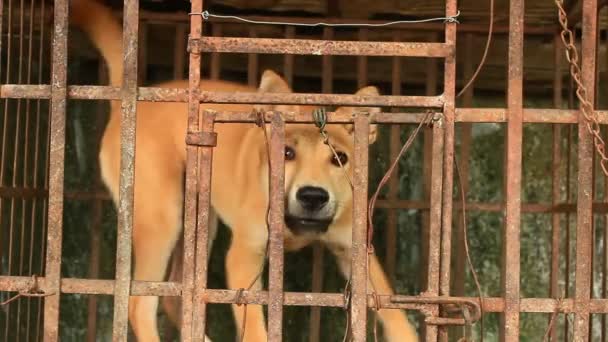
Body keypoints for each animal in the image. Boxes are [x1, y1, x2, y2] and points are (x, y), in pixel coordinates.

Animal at [66, 0, 418, 342]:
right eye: (286, 153)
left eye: (340, 158)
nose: (313, 197)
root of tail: (129, 104)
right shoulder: (243, 256)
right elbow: (255, 329)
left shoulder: (356, 249)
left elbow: (396, 315)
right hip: (160, 218)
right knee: (140, 304)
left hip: (197, 220)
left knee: (173, 297)